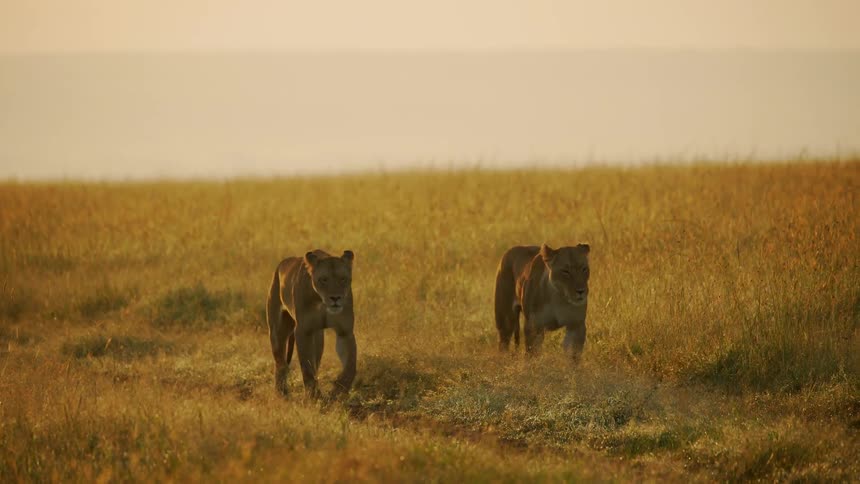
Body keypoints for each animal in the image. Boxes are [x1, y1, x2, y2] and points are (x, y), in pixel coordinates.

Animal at [266, 249, 357, 397]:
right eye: (324, 279)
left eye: (343, 279)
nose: (336, 298)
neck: (322, 302)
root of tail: (281, 265)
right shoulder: (304, 331)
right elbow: (306, 366)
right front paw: (313, 395)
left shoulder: (345, 331)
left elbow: (351, 366)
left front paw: (338, 391)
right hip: (277, 330)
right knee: (280, 363)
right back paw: (281, 393)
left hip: (318, 336)